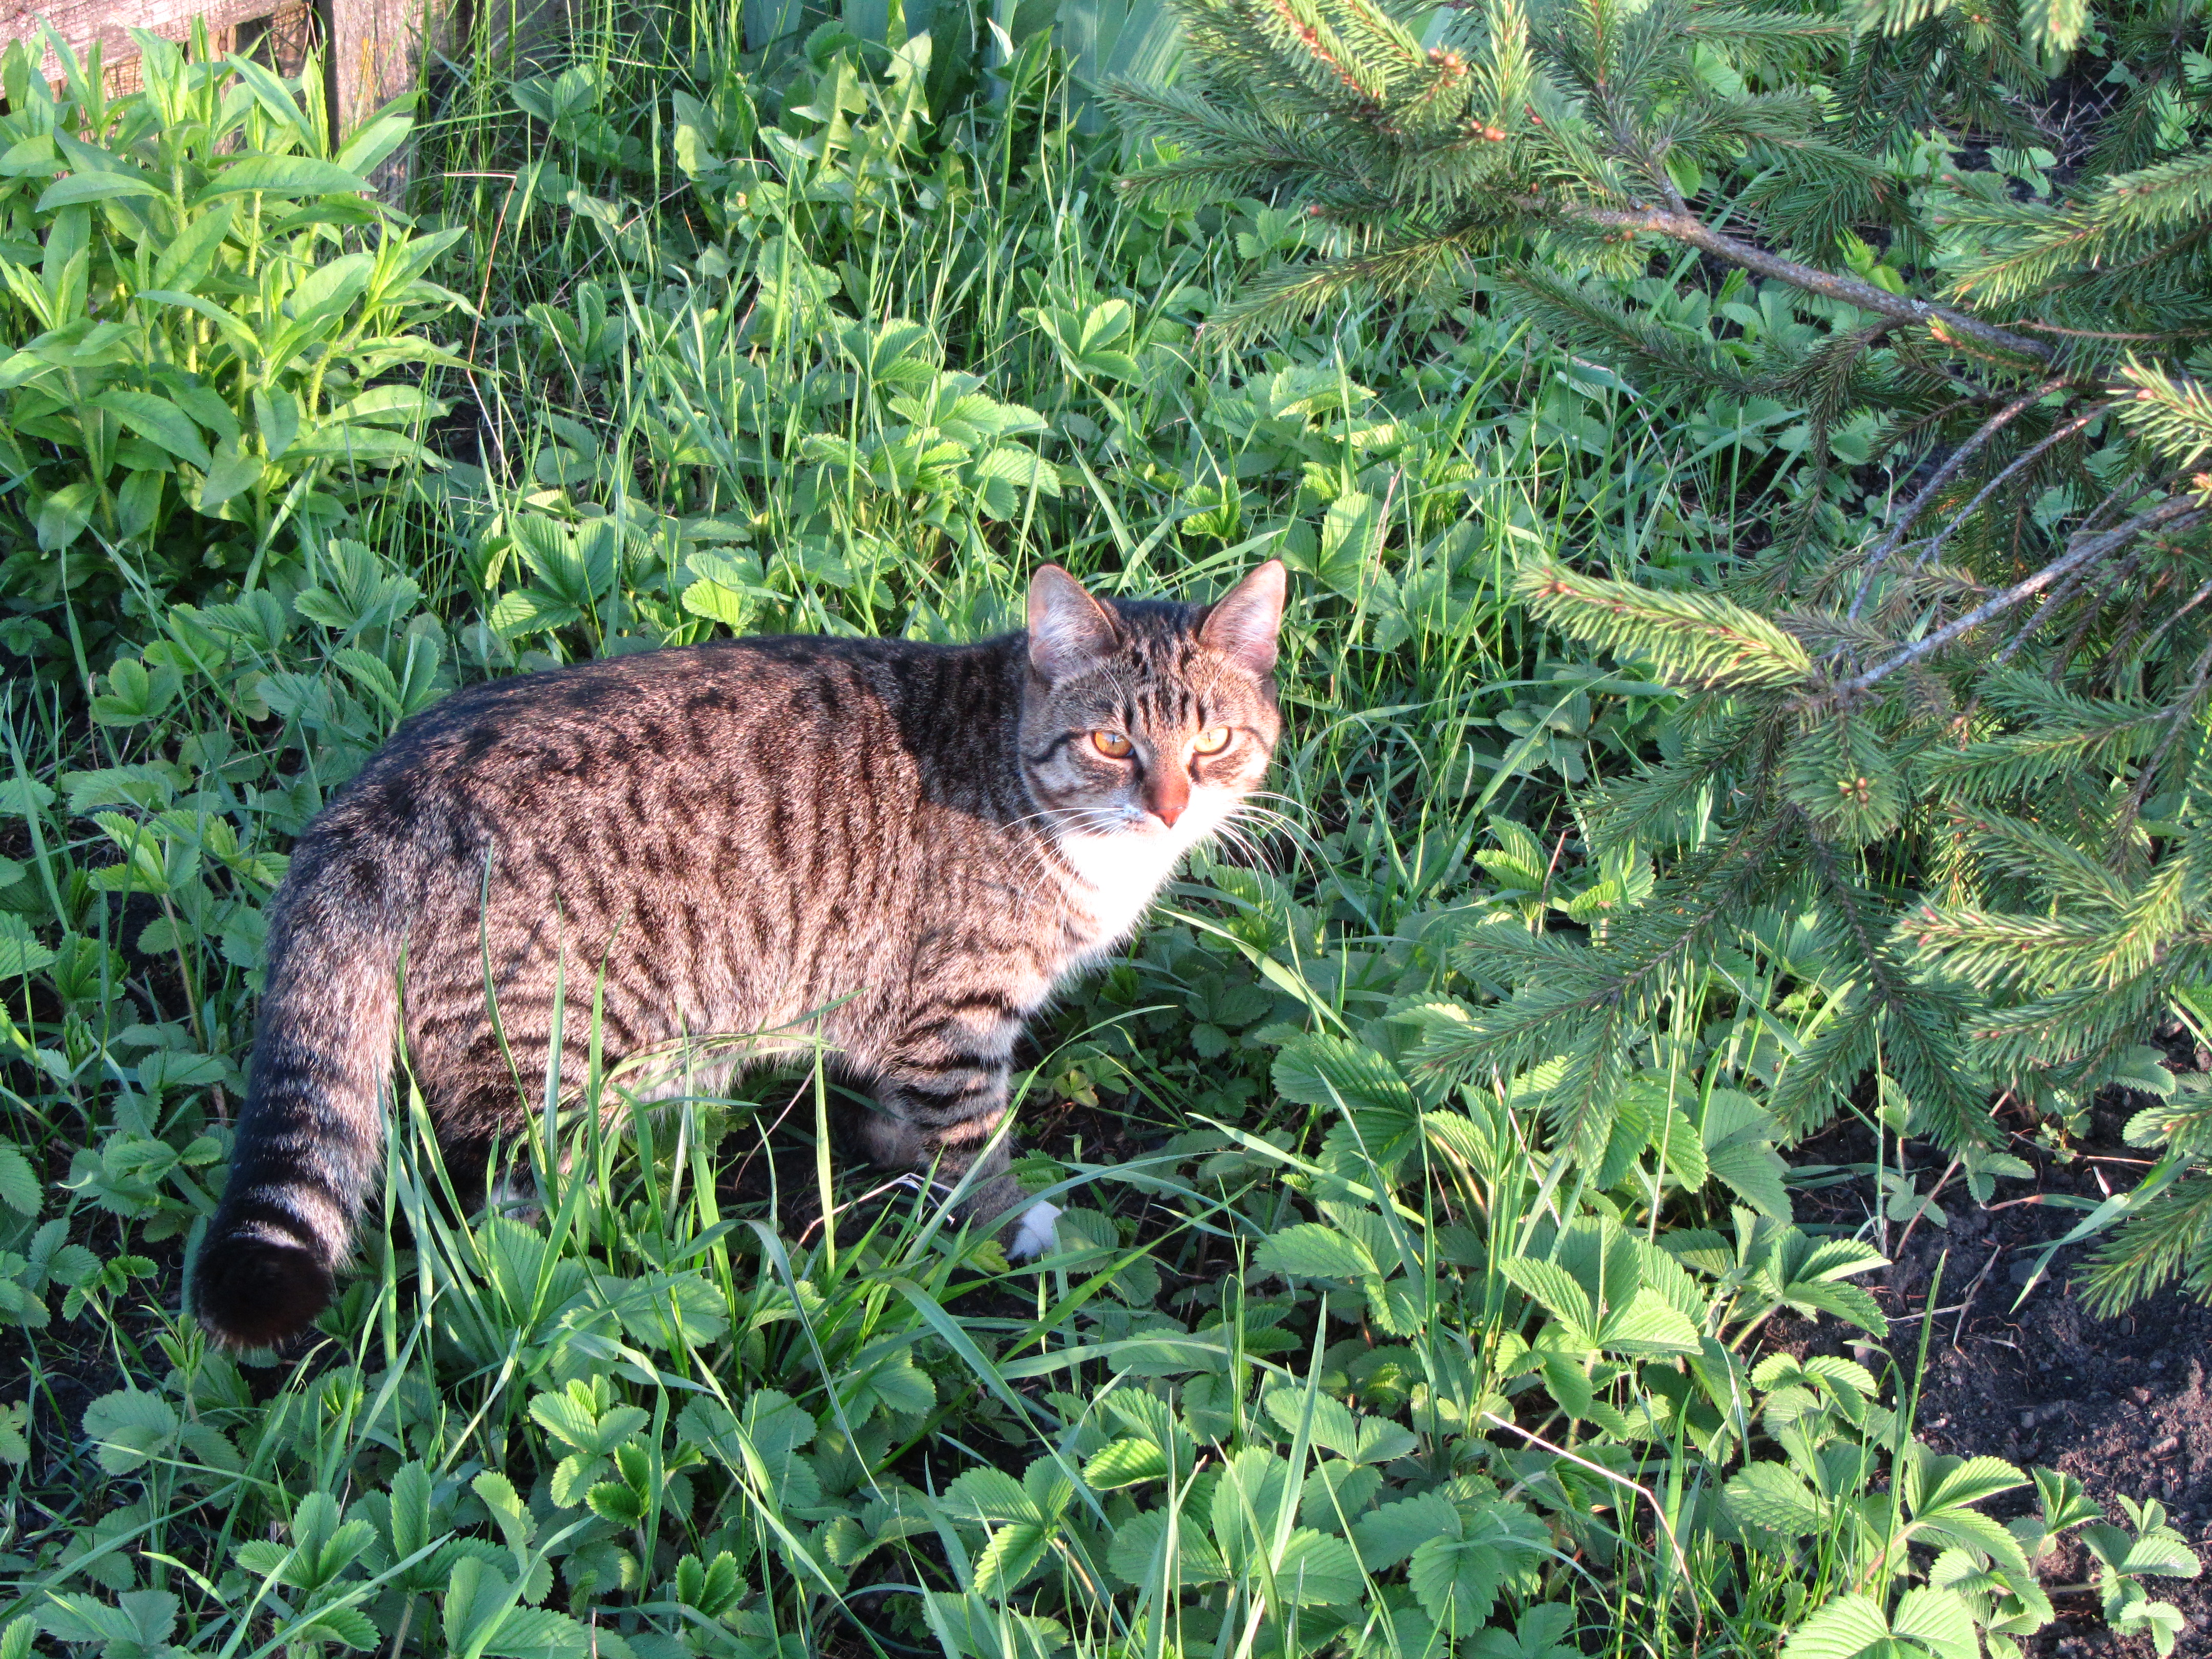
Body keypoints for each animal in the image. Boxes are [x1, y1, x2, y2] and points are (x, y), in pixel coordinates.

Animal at [201, 559, 1291, 1353]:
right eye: (1110, 742)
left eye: (1214, 745)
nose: (1170, 807)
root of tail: (367, 811)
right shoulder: (954, 1015)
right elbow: (975, 1141)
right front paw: (1012, 1224)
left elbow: (903, 1112)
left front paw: (893, 1149)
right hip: (558, 1056)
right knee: (510, 1211)